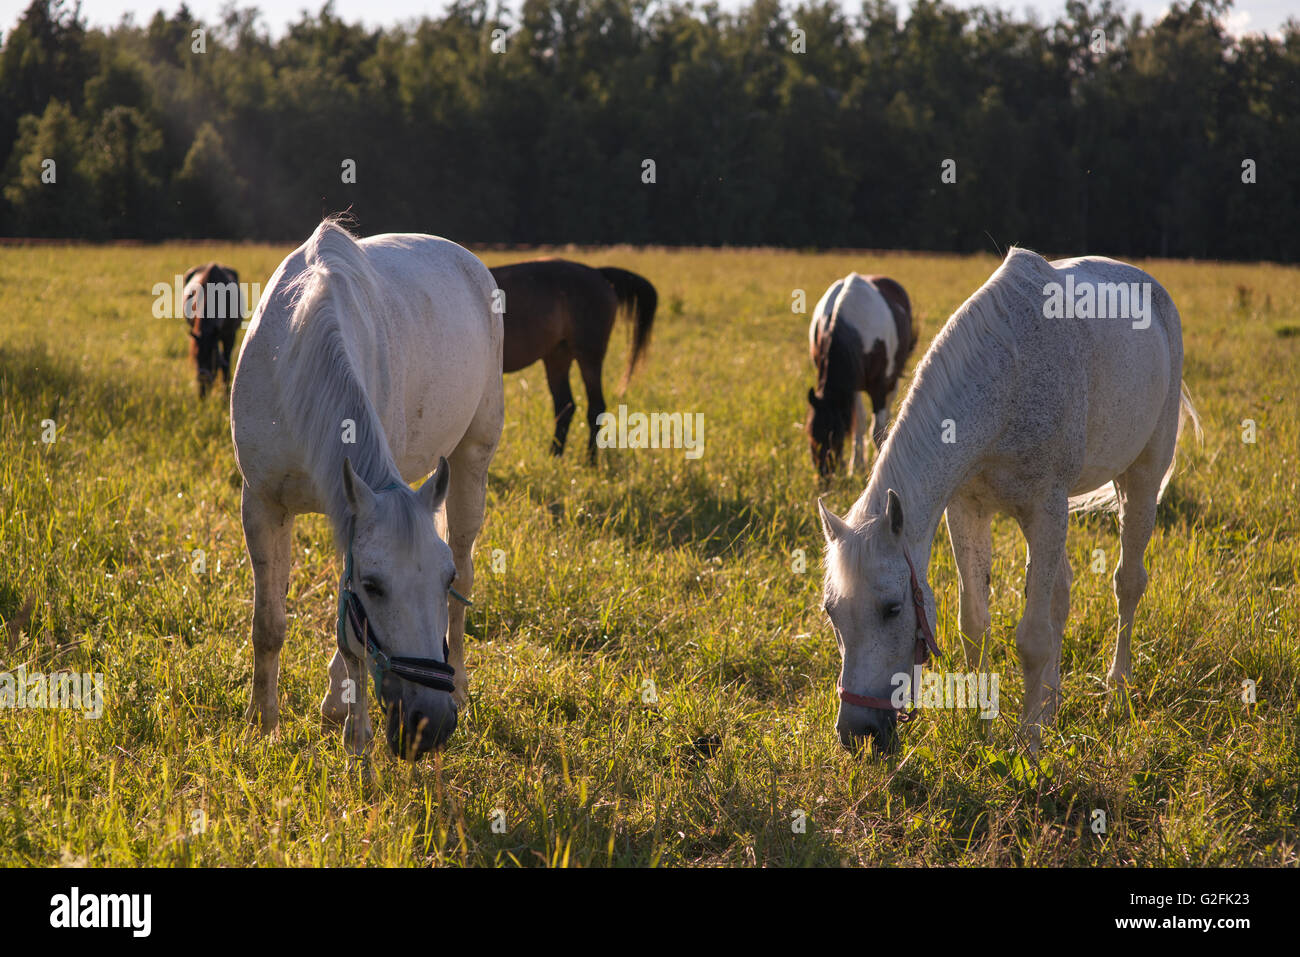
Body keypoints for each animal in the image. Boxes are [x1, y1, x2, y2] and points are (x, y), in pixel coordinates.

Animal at [182, 262, 242, 398]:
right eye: (196, 358)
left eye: (211, 360)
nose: (203, 381)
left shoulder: (229, 335)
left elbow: (226, 363)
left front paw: (226, 394)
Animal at [230, 219, 503, 760]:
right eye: (374, 585)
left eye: (439, 580)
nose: (430, 725)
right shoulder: (263, 503)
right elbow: (269, 624)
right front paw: (262, 724)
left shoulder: (349, 514)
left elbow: (348, 639)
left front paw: (350, 729)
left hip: (472, 460)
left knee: (467, 569)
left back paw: (459, 685)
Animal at [491, 259, 656, 462]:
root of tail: (599, 273)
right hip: (557, 357)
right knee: (565, 407)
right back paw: (555, 456)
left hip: (589, 356)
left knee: (595, 407)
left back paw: (590, 461)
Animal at [806, 273, 916, 478]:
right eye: (812, 437)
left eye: (834, 437)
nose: (824, 477)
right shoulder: (853, 387)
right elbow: (859, 423)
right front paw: (855, 467)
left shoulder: (879, 386)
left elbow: (877, 430)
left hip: (892, 380)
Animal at [818, 248, 1200, 755]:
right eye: (832, 612)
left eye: (892, 609)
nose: (856, 734)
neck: (1007, 382)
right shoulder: (968, 510)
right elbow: (975, 624)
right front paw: (986, 726)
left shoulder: (1045, 509)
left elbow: (1032, 637)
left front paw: (1029, 742)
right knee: (1061, 592)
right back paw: (1052, 705)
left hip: (1140, 478)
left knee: (1128, 583)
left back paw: (1116, 691)